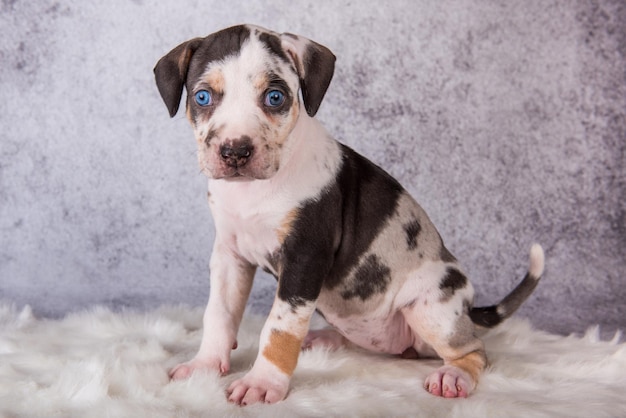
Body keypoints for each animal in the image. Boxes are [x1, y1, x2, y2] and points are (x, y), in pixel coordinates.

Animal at [152, 23, 540, 404]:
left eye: (275, 97)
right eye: (203, 97)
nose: (235, 151)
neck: (254, 191)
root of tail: (468, 309)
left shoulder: (305, 258)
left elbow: (279, 327)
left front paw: (262, 383)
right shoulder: (230, 256)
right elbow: (218, 314)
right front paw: (204, 366)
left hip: (431, 306)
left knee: (474, 351)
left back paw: (454, 376)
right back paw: (323, 339)